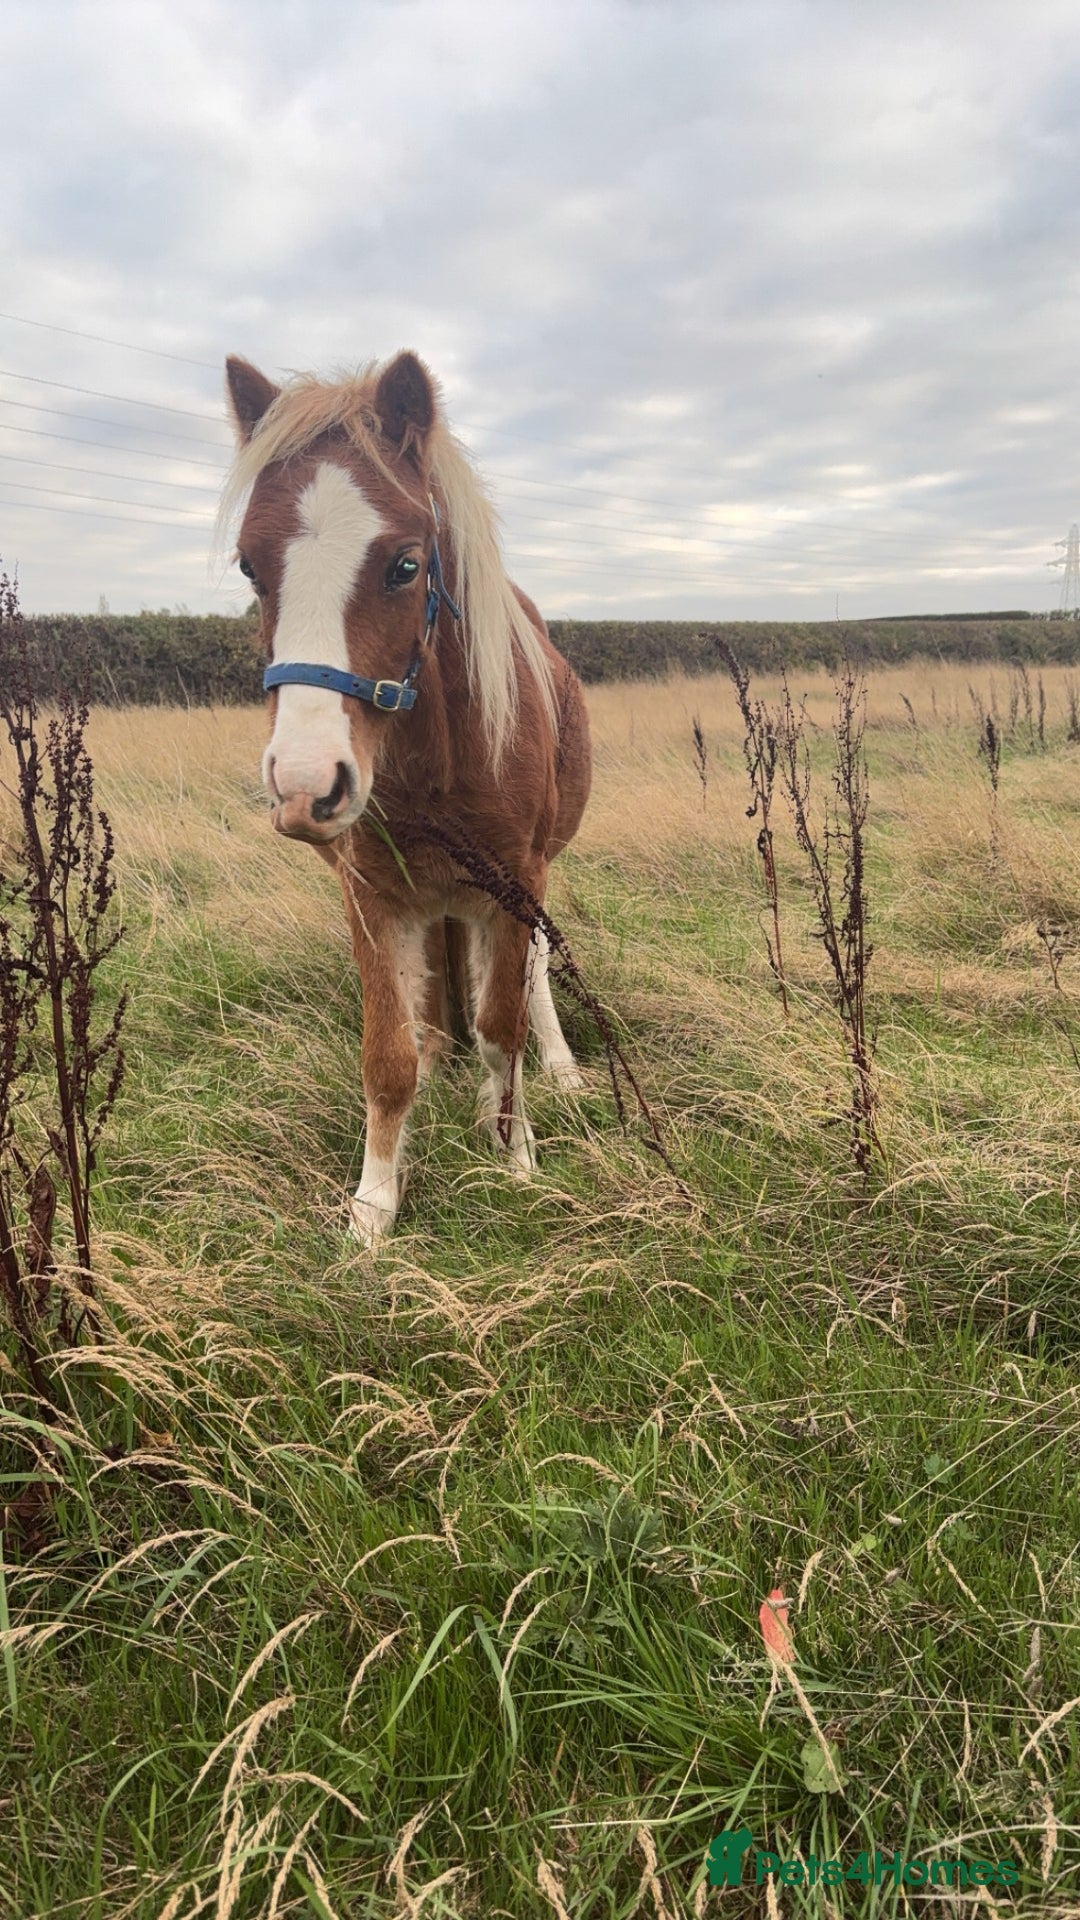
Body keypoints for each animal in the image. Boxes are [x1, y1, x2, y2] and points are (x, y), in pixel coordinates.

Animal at [220, 350, 592, 1246]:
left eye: (405, 564)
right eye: (250, 565)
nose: (306, 785)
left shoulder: (516, 883)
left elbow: (501, 1026)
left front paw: (513, 1153)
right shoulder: (372, 897)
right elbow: (387, 1054)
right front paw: (373, 1208)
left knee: (525, 980)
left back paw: (554, 1072)